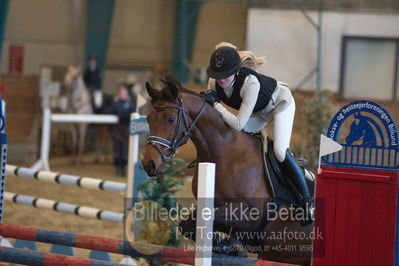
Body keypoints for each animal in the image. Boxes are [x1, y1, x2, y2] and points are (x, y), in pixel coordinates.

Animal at [142, 76, 314, 264]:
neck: (222, 153)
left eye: (171, 119)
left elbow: (195, 222)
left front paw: (228, 246)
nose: (149, 164)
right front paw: (227, 246)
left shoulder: (250, 215)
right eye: (148, 119)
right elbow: (188, 225)